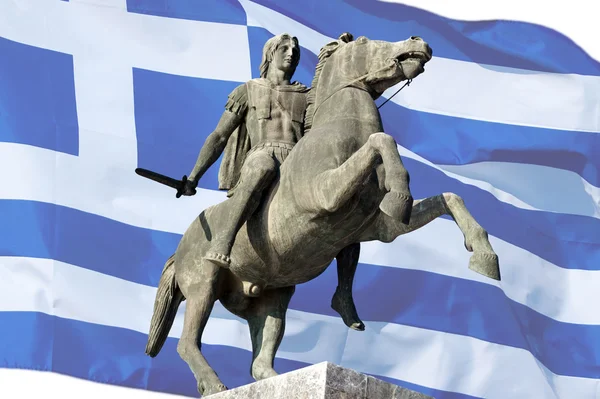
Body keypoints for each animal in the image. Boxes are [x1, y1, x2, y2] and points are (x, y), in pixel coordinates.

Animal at [143, 34, 500, 396]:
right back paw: (215, 382)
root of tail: (179, 248)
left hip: (273, 298)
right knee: (187, 342)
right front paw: (400, 195)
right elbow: (382, 139)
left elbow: (449, 197)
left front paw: (484, 256)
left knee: (259, 361)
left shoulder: (378, 228)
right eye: (366, 41)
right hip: (204, 285)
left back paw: (279, 376)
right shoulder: (325, 194)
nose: (418, 42)